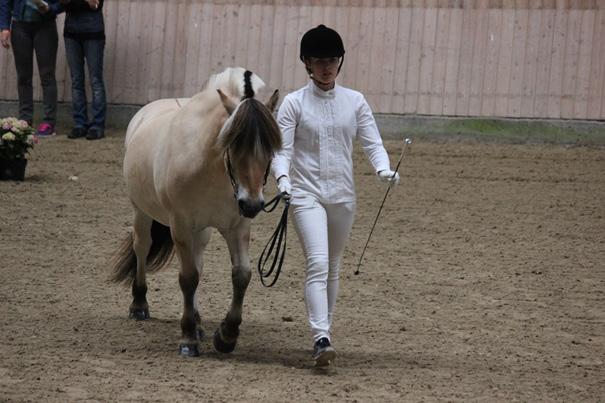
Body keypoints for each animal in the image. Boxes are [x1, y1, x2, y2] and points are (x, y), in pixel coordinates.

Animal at [110, 67, 280, 356]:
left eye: (269, 149)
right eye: (233, 146)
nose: (252, 204)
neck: (210, 168)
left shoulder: (236, 227)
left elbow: (241, 275)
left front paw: (226, 336)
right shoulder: (180, 226)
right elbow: (188, 278)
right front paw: (188, 339)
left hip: (202, 231)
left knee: (198, 261)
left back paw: (200, 323)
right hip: (142, 212)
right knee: (142, 246)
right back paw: (139, 304)